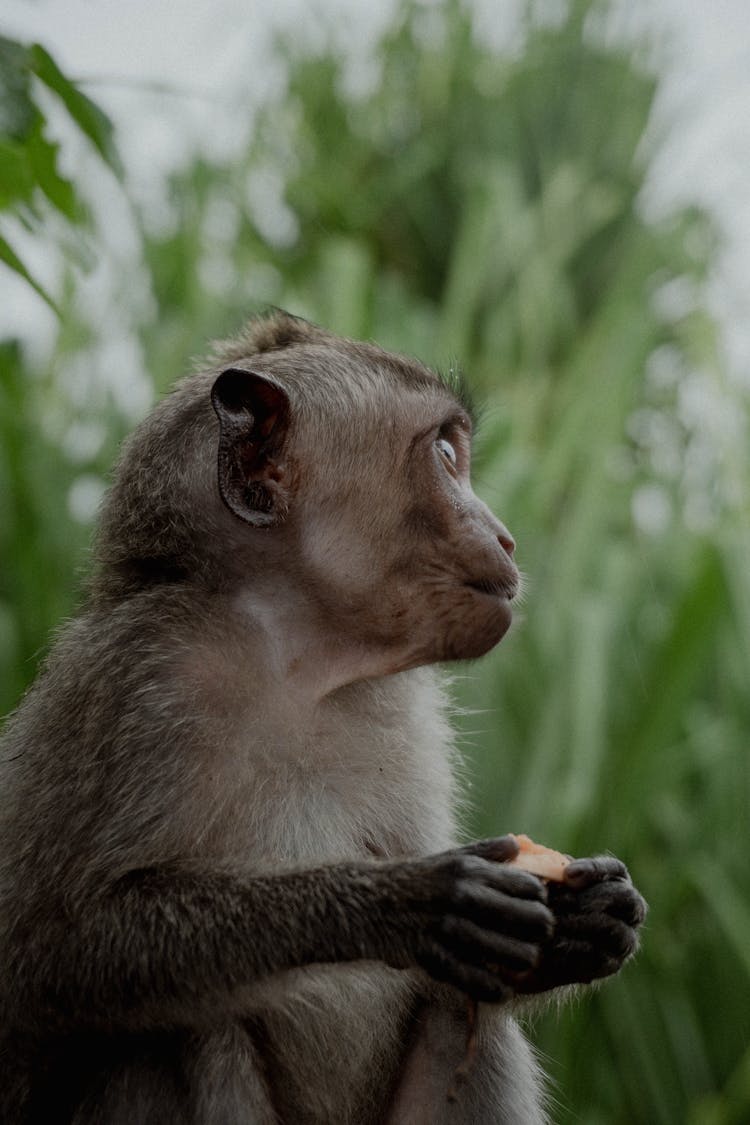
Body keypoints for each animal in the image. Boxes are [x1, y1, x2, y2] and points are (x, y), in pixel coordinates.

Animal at [0, 312, 647, 1125]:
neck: (294, 660)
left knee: (458, 1009)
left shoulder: (405, 707)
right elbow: (50, 958)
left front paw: (588, 922)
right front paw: (402, 903)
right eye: (444, 455)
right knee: (176, 1027)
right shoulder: (137, 685)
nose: (504, 536)